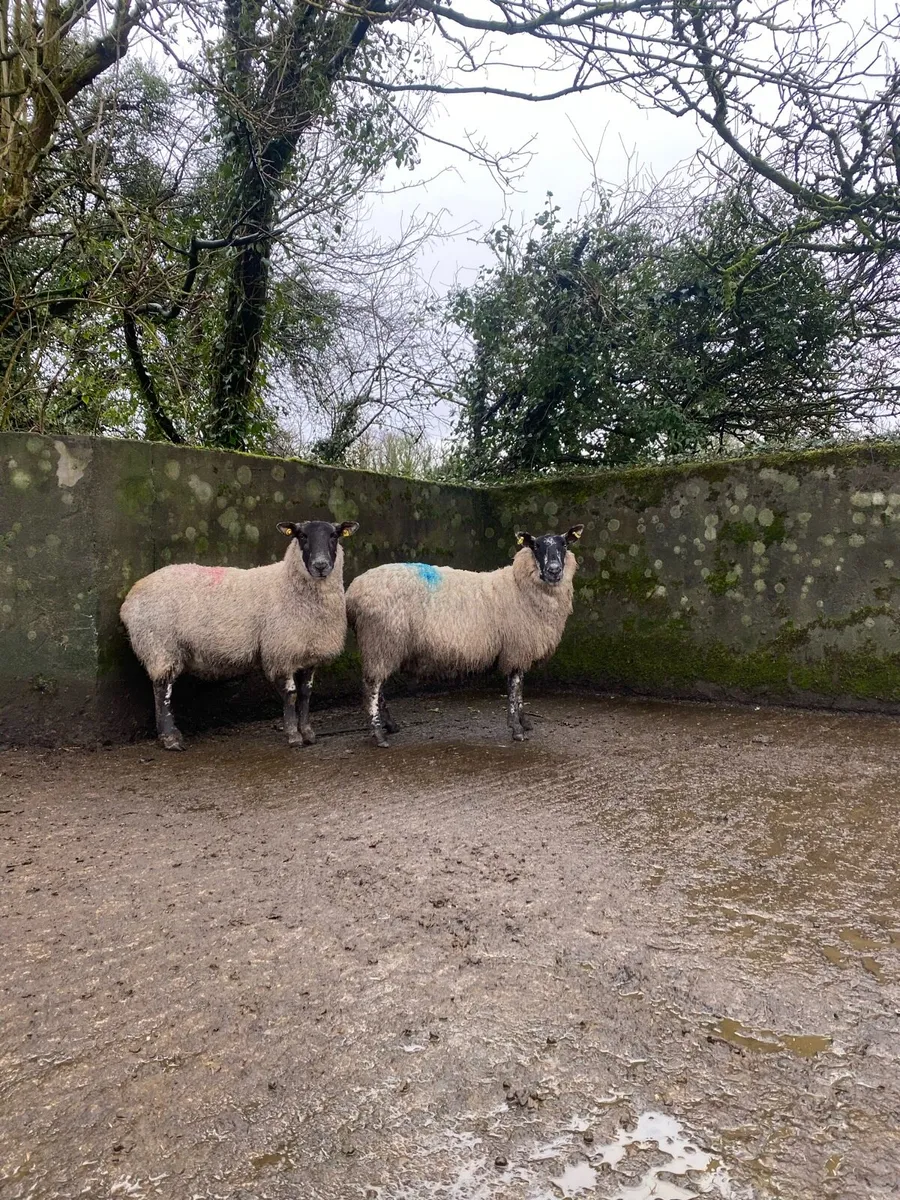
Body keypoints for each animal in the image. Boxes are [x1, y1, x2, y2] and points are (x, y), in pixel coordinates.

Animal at [120, 519, 359, 751]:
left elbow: (306, 693)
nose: (321, 565)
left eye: (334, 535)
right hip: (160, 645)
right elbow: (291, 694)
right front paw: (293, 736)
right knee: (162, 690)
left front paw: (308, 733)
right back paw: (171, 739)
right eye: (301, 535)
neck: (286, 582)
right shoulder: (281, 652)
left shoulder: (308, 652)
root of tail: (130, 598)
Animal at [345, 524, 584, 747]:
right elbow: (514, 688)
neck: (519, 586)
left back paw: (390, 725)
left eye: (564, 544)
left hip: (381, 646)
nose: (554, 570)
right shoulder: (516, 648)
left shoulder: (519, 650)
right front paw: (517, 729)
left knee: (377, 687)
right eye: (536, 546)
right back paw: (379, 735)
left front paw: (524, 722)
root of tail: (352, 593)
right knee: (372, 688)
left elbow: (520, 688)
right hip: (380, 640)